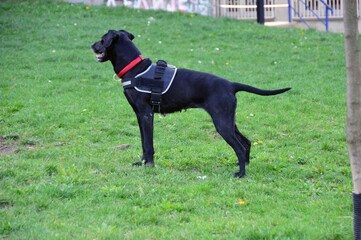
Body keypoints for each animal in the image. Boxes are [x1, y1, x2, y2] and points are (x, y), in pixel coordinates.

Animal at [90, 29, 290, 177]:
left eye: (102, 39)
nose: (92, 45)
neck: (135, 69)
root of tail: (231, 85)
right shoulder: (140, 116)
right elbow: (144, 143)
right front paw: (142, 163)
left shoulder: (146, 114)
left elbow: (148, 143)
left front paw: (149, 166)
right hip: (228, 120)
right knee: (246, 142)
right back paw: (244, 168)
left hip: (222, 124)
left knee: (240, 147)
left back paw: (240, 174)